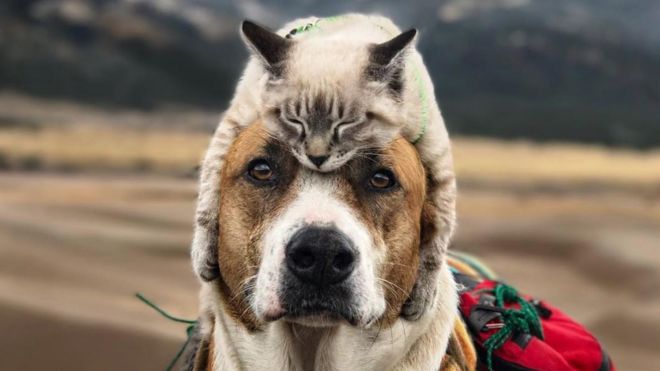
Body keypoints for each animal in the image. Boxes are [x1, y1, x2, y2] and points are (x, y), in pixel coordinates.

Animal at [193, 14, 456, 322]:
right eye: (294, 121)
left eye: (347, 123)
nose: (322, 253)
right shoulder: (234, 123)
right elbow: (209, 187)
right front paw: (203, 253)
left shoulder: (436, 154)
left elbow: (440, 229)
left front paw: (423, 294)